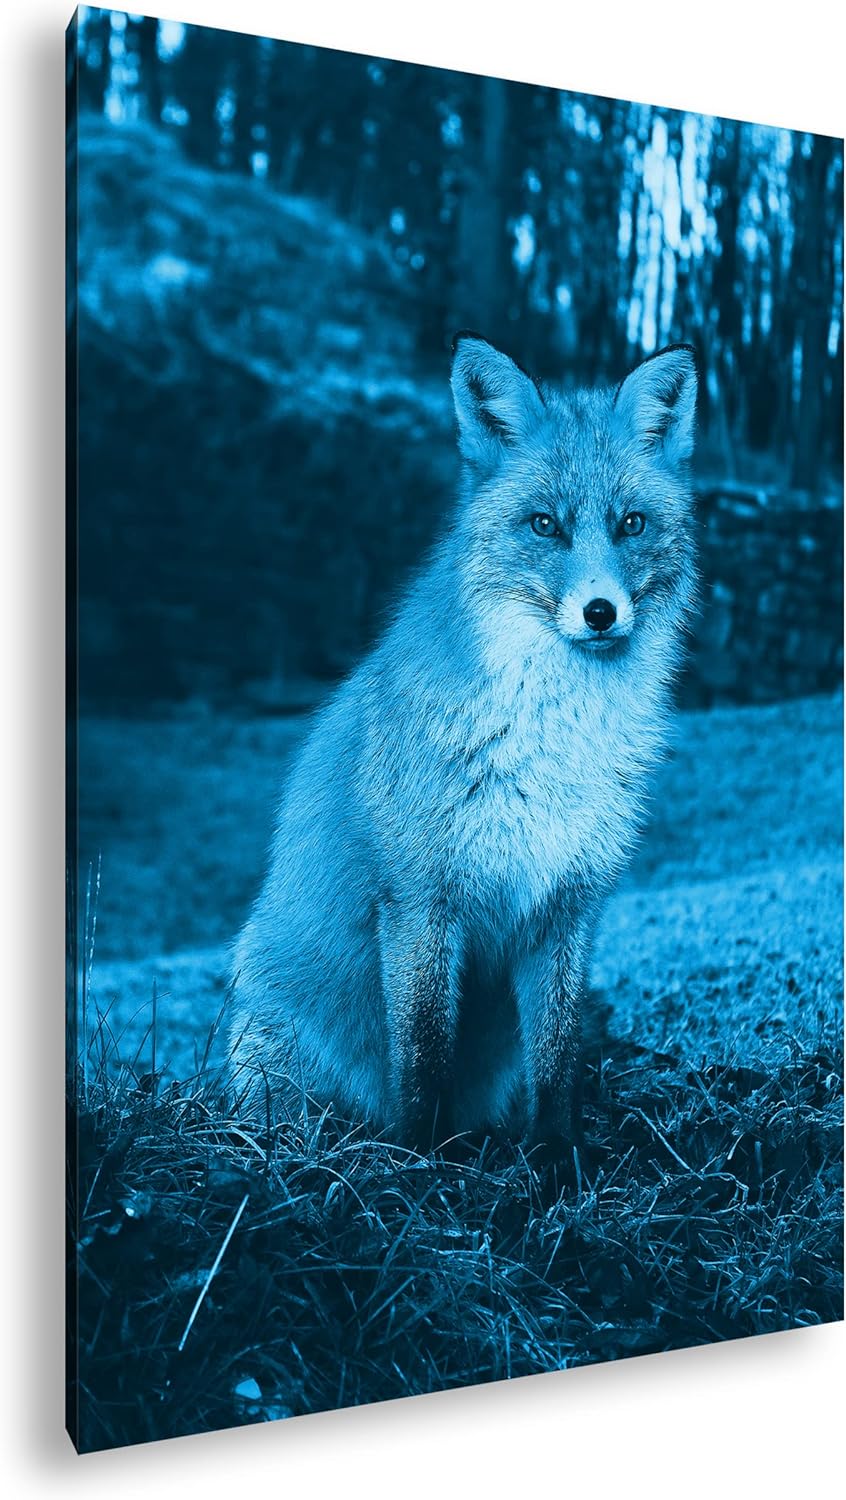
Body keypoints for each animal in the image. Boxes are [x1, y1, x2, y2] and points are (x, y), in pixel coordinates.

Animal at [229, 334, 698, 1153]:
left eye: (632, 525)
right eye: (544, 525)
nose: (600, 612)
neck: (552, 739)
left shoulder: (567, 906)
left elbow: (558, 1061)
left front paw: (557, 1161)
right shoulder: (421, 899)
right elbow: (423, 1057)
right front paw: (420, 1159)